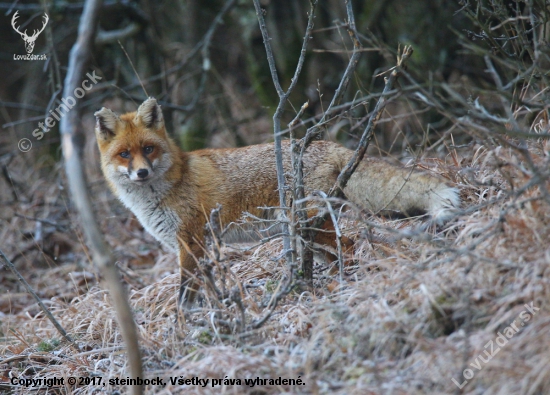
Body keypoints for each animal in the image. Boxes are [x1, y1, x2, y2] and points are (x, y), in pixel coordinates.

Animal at [96, 97, 462, 308]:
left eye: (149, 149)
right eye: (125, 154)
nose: (141, 172)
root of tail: (325, 144)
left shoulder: (192, 242)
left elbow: (185, 296)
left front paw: (183, 328)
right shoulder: (193, 248)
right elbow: (202, 292)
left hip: (307, 226)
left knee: (351, 246)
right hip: (307, 234)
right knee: (342, 252)